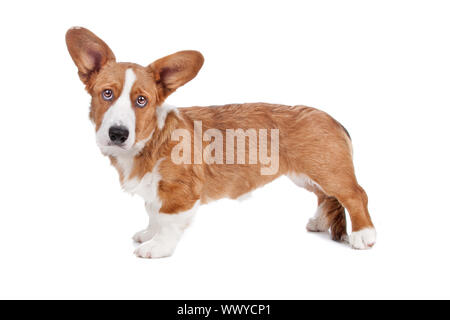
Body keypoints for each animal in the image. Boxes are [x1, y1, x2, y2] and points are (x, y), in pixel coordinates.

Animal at [66, 26, 376, 258]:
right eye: (107, 94)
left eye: (141, 100)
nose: (117, 134)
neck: (150, 139)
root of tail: (333, 119)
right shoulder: (155, 190)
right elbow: (152, 212)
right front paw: (148, 234)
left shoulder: (180, 191)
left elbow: (167, 220)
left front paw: (156, 247)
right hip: (306, 174)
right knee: (327, 197)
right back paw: (320, 222)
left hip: (329, 171)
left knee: (354, 195)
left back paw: (364, 235)